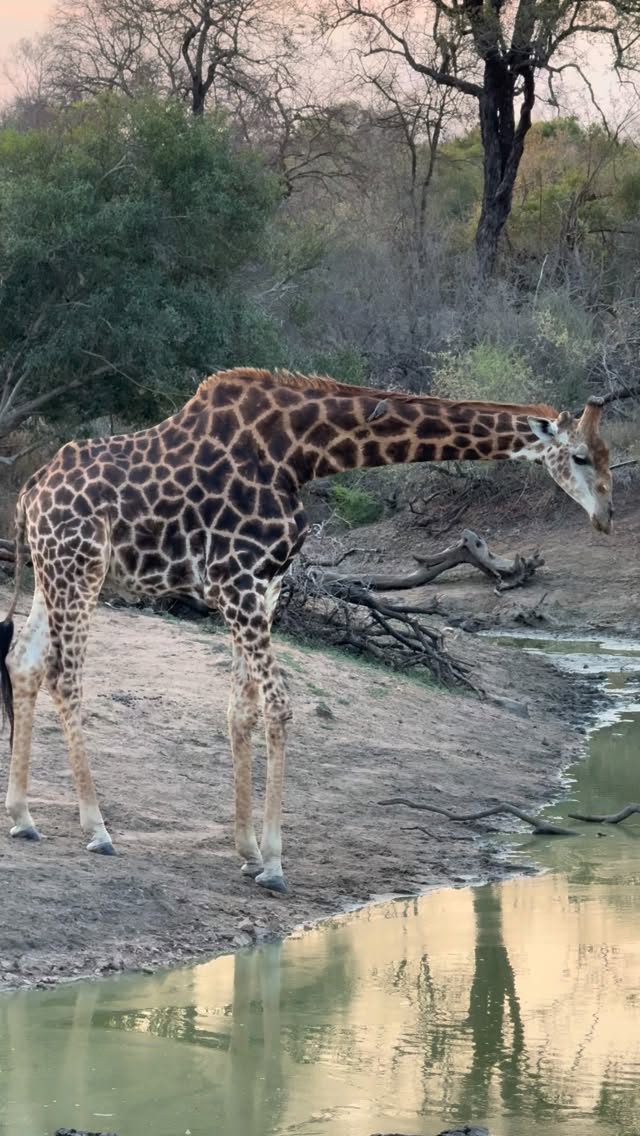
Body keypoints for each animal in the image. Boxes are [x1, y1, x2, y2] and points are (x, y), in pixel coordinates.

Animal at [0, 368, 612, 892]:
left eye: (607, 456)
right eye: (581, 456)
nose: (605, 518)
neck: (301, 454)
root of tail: (29, 493)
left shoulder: (261, 588)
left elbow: (240, 709)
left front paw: (247, 851)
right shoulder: (238, 581)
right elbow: (278, 704)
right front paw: (273, 863)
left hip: (52, 571)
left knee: (24, 662)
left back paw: (24, 817)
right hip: (79, 568)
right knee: (66, 678)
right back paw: (97, 829)